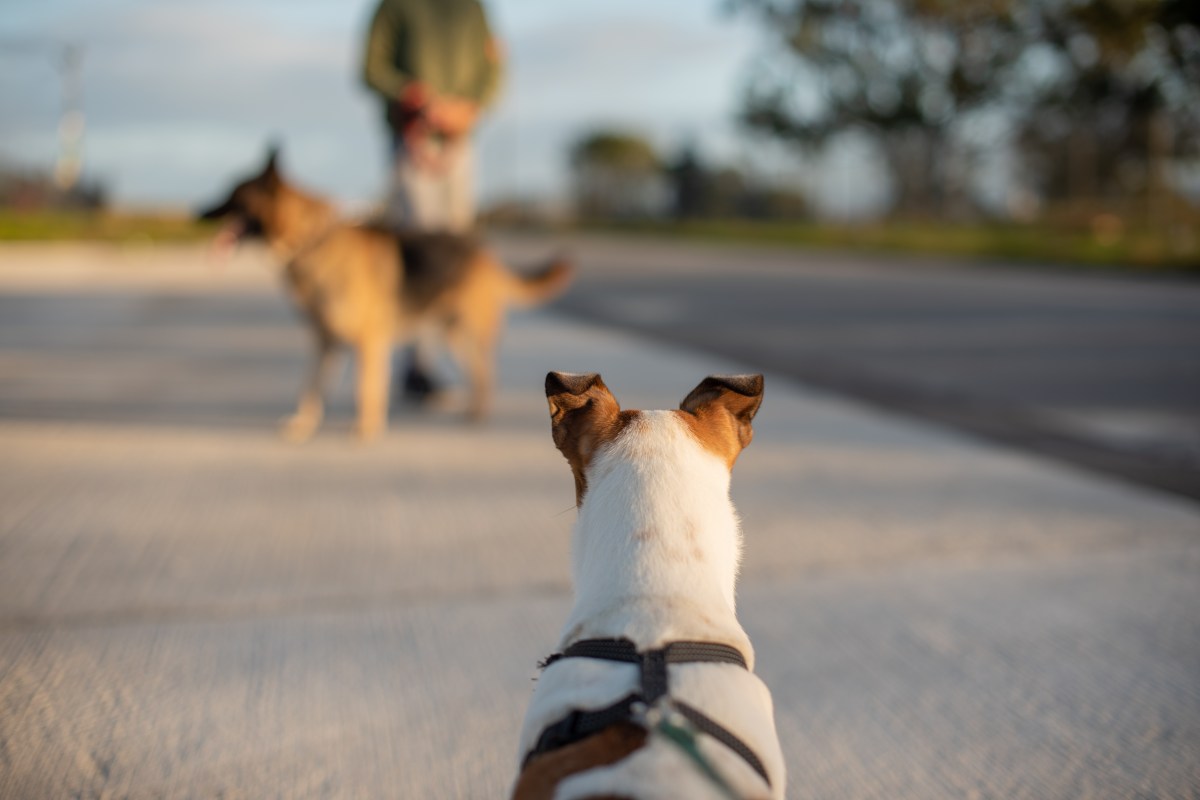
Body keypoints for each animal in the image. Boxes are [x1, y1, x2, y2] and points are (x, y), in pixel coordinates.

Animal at [196, 146, 571, 441]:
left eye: (234, 193)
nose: (197, 213)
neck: (313, 241)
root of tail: (484, 253)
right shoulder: (325, 343)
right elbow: (311, 387)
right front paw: (304, 425)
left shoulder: (369, 340)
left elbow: (366, 387)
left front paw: (366, 430)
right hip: (452, 334)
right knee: (476, 372)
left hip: (468, 330)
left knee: (485, 373)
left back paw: (477, 415)